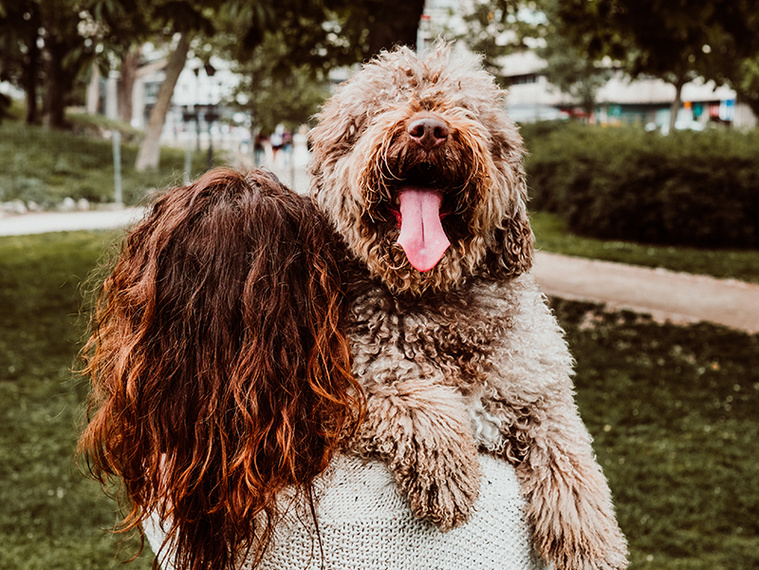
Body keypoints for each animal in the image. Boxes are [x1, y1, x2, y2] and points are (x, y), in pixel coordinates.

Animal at [308, 42, 628, 564]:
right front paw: (448, 470)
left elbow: (572, 461)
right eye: (379, 108)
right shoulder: (338, 389)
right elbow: (406, 393)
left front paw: (591, 546)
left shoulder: (544, 395)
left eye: (466, 110)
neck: (436, 302)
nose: (429, 128)